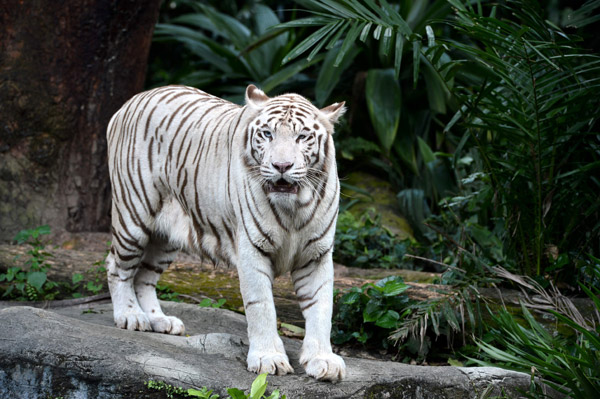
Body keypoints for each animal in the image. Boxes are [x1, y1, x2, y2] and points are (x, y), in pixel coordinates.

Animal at [105, 83, 344, 382]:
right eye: (268, 134)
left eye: (302, 137)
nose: (282, 166)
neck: (295, 208)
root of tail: (133, 100)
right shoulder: (252, 249)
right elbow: (261, 306)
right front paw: (269, 358)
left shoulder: (317, 254)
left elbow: (321, 307)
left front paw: (323, 360)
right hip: (133, 216)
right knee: (117, 267)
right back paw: (130, 317)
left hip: (166, 237)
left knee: (144, 277)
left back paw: (159, 320)